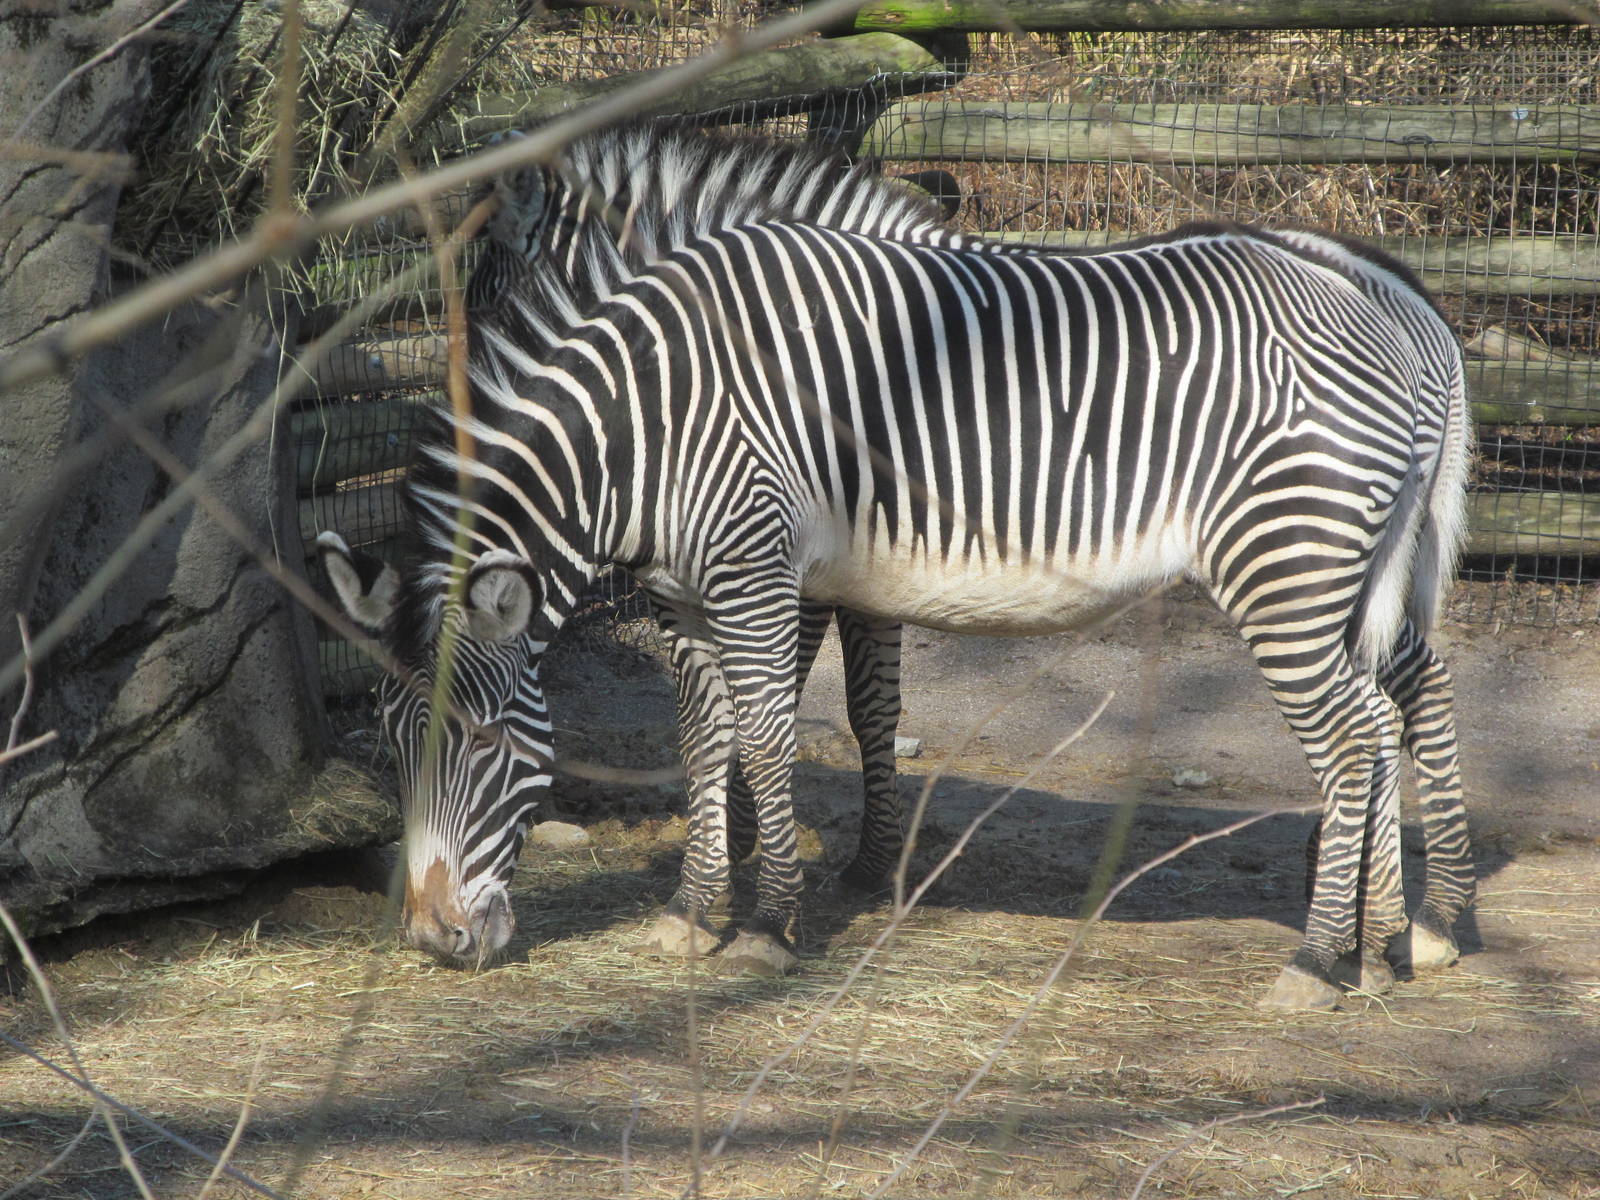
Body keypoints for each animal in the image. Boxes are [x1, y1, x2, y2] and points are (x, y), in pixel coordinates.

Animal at [320, 146, 1473, 1010]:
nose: (433, 941)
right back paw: (1391, 938)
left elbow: (784, 730)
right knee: (1396, 706)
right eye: (390, 744)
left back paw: (1328, 956)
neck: (653, 419)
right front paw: (696, 911)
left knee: (1355, 734)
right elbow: (707, 736)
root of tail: (1401, 311)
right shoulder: (693, 596)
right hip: (1356, 572)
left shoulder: (766, 573)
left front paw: (777, 922)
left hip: (1286, 562)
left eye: (483, 742)